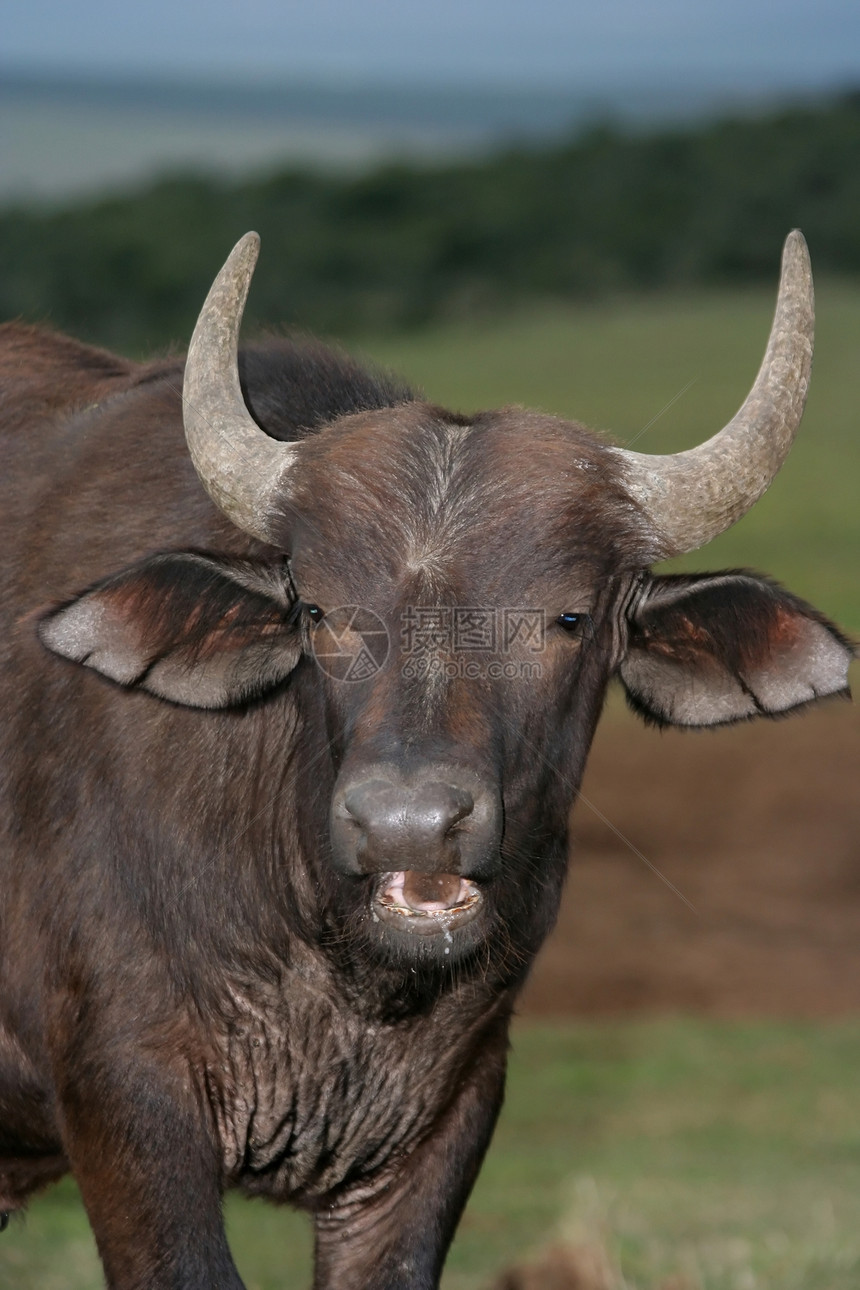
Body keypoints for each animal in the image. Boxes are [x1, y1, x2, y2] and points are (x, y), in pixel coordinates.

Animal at [0, 234, 856, 1290]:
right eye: (319, 611)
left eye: (568, 617)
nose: (407, 824)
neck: (344, 977)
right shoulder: (126, 1104)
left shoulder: (450, 1117)